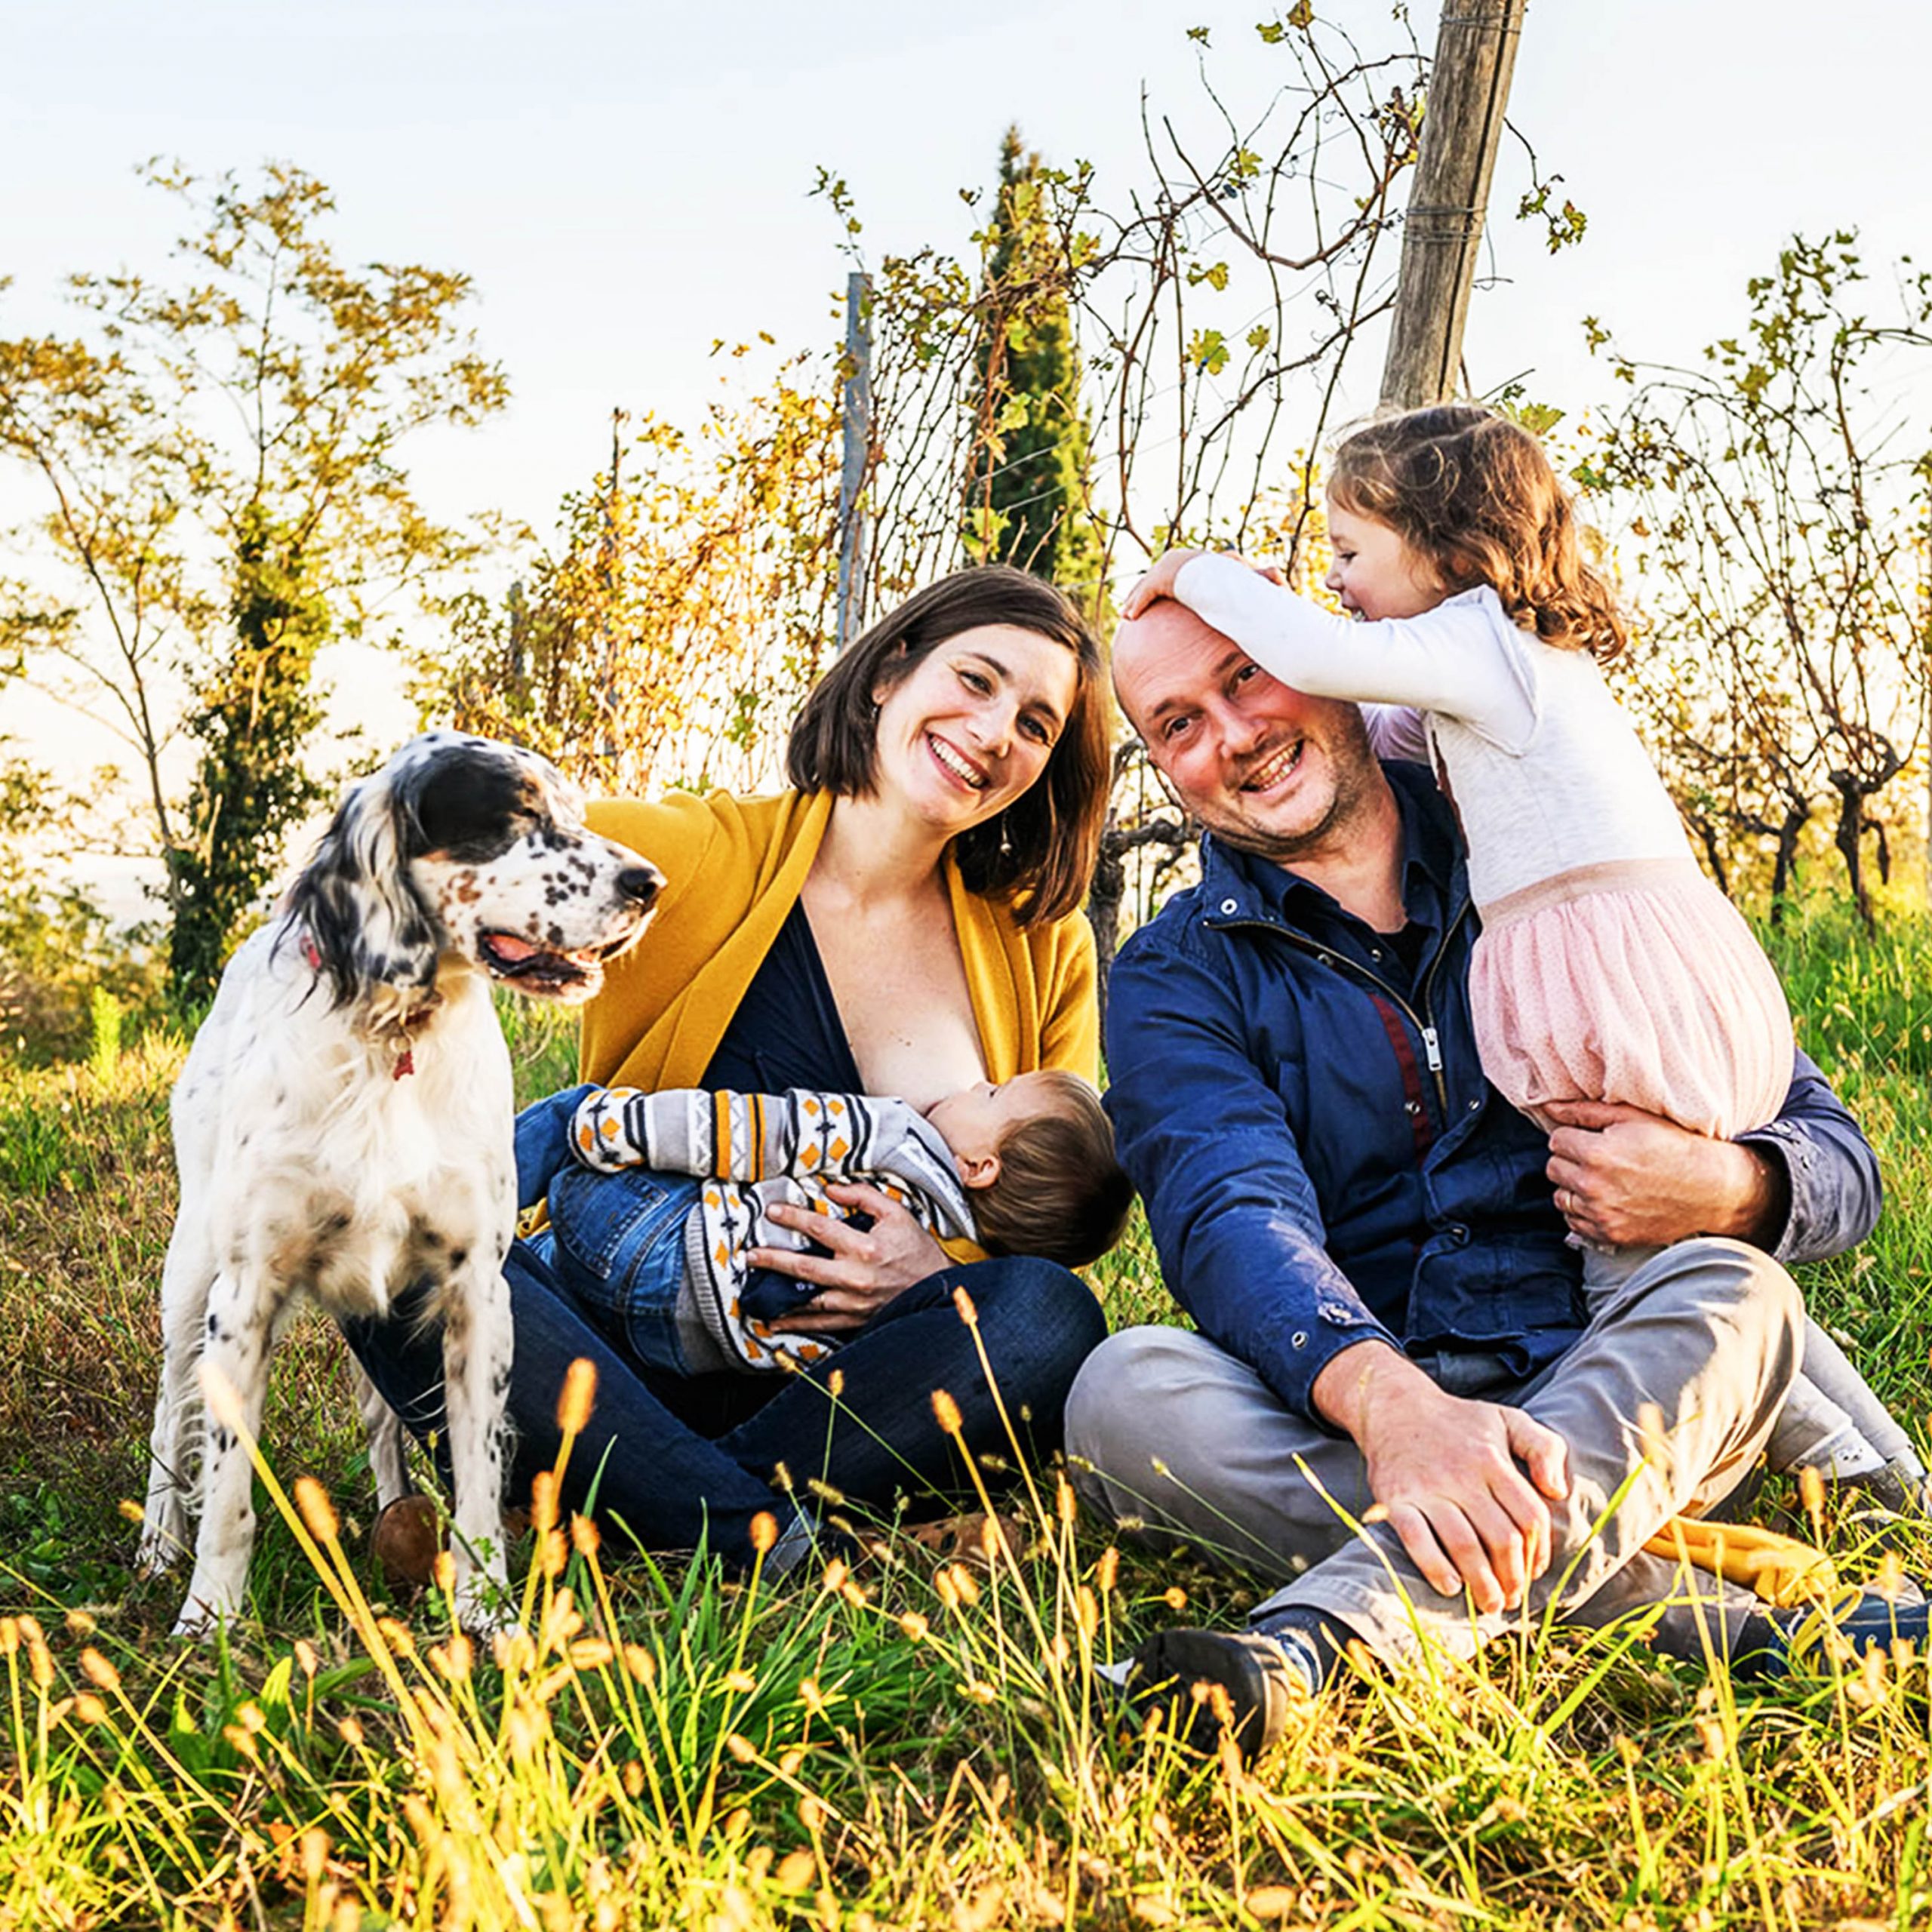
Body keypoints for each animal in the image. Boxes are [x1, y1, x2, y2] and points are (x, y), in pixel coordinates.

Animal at [138, 730, 664, 1638]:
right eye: (516, 814)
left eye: (575, 811)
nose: (649, 884)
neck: (390, 1041)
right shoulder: (243, 1294)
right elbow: (230, 1488)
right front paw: (210, 1622)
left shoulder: (473, 1292)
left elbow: (479, 1478)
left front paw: (490, 1618)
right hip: (190, 1277)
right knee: (172, 1417)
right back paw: (158, 1544)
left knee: (383, 1430)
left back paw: (393, 1510)